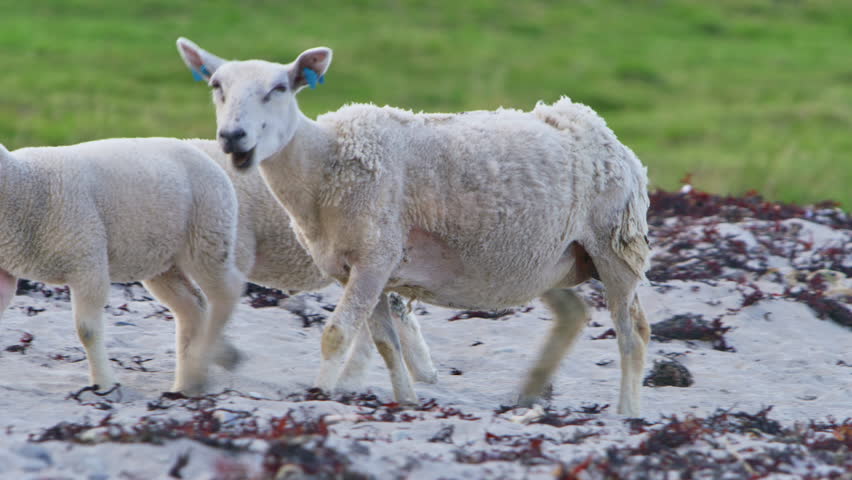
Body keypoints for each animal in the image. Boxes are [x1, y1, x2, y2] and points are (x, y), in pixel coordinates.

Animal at [0, 138, 244, 394]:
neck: (23, 182)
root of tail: (205, 155)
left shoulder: (88, 263)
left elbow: (87, 331)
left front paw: (104, 383)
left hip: (207, 235)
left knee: (227, 291)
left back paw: (211, 357)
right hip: (161, 260)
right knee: (192, 305)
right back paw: (190, 381)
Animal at [176, 38, 652, 416]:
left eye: (279, 89)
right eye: (217, 87)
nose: (233, 137)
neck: (325, 162)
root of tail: (603, 131)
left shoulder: (375, 256)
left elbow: (337, 335)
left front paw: (321, 395)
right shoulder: (363, 269)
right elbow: (387, 344)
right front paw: (406, 402)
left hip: (615, 245)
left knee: (633, 334)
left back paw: (626, 413)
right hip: (547, 258)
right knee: (576, 312)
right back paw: (532, 391)